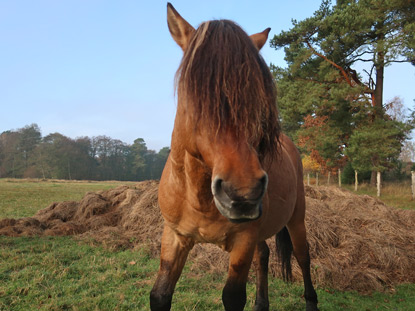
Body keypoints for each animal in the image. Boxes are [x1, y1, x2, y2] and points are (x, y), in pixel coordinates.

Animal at [151, 3, 320, 311]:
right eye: (192, 92)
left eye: (259, 96)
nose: (243, 193)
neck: (199, 198)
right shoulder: (174, 237)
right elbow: (160, 295)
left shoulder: (243, 241)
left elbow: (232, 297)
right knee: (264, 255)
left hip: (296, 220)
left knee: (303, 257)